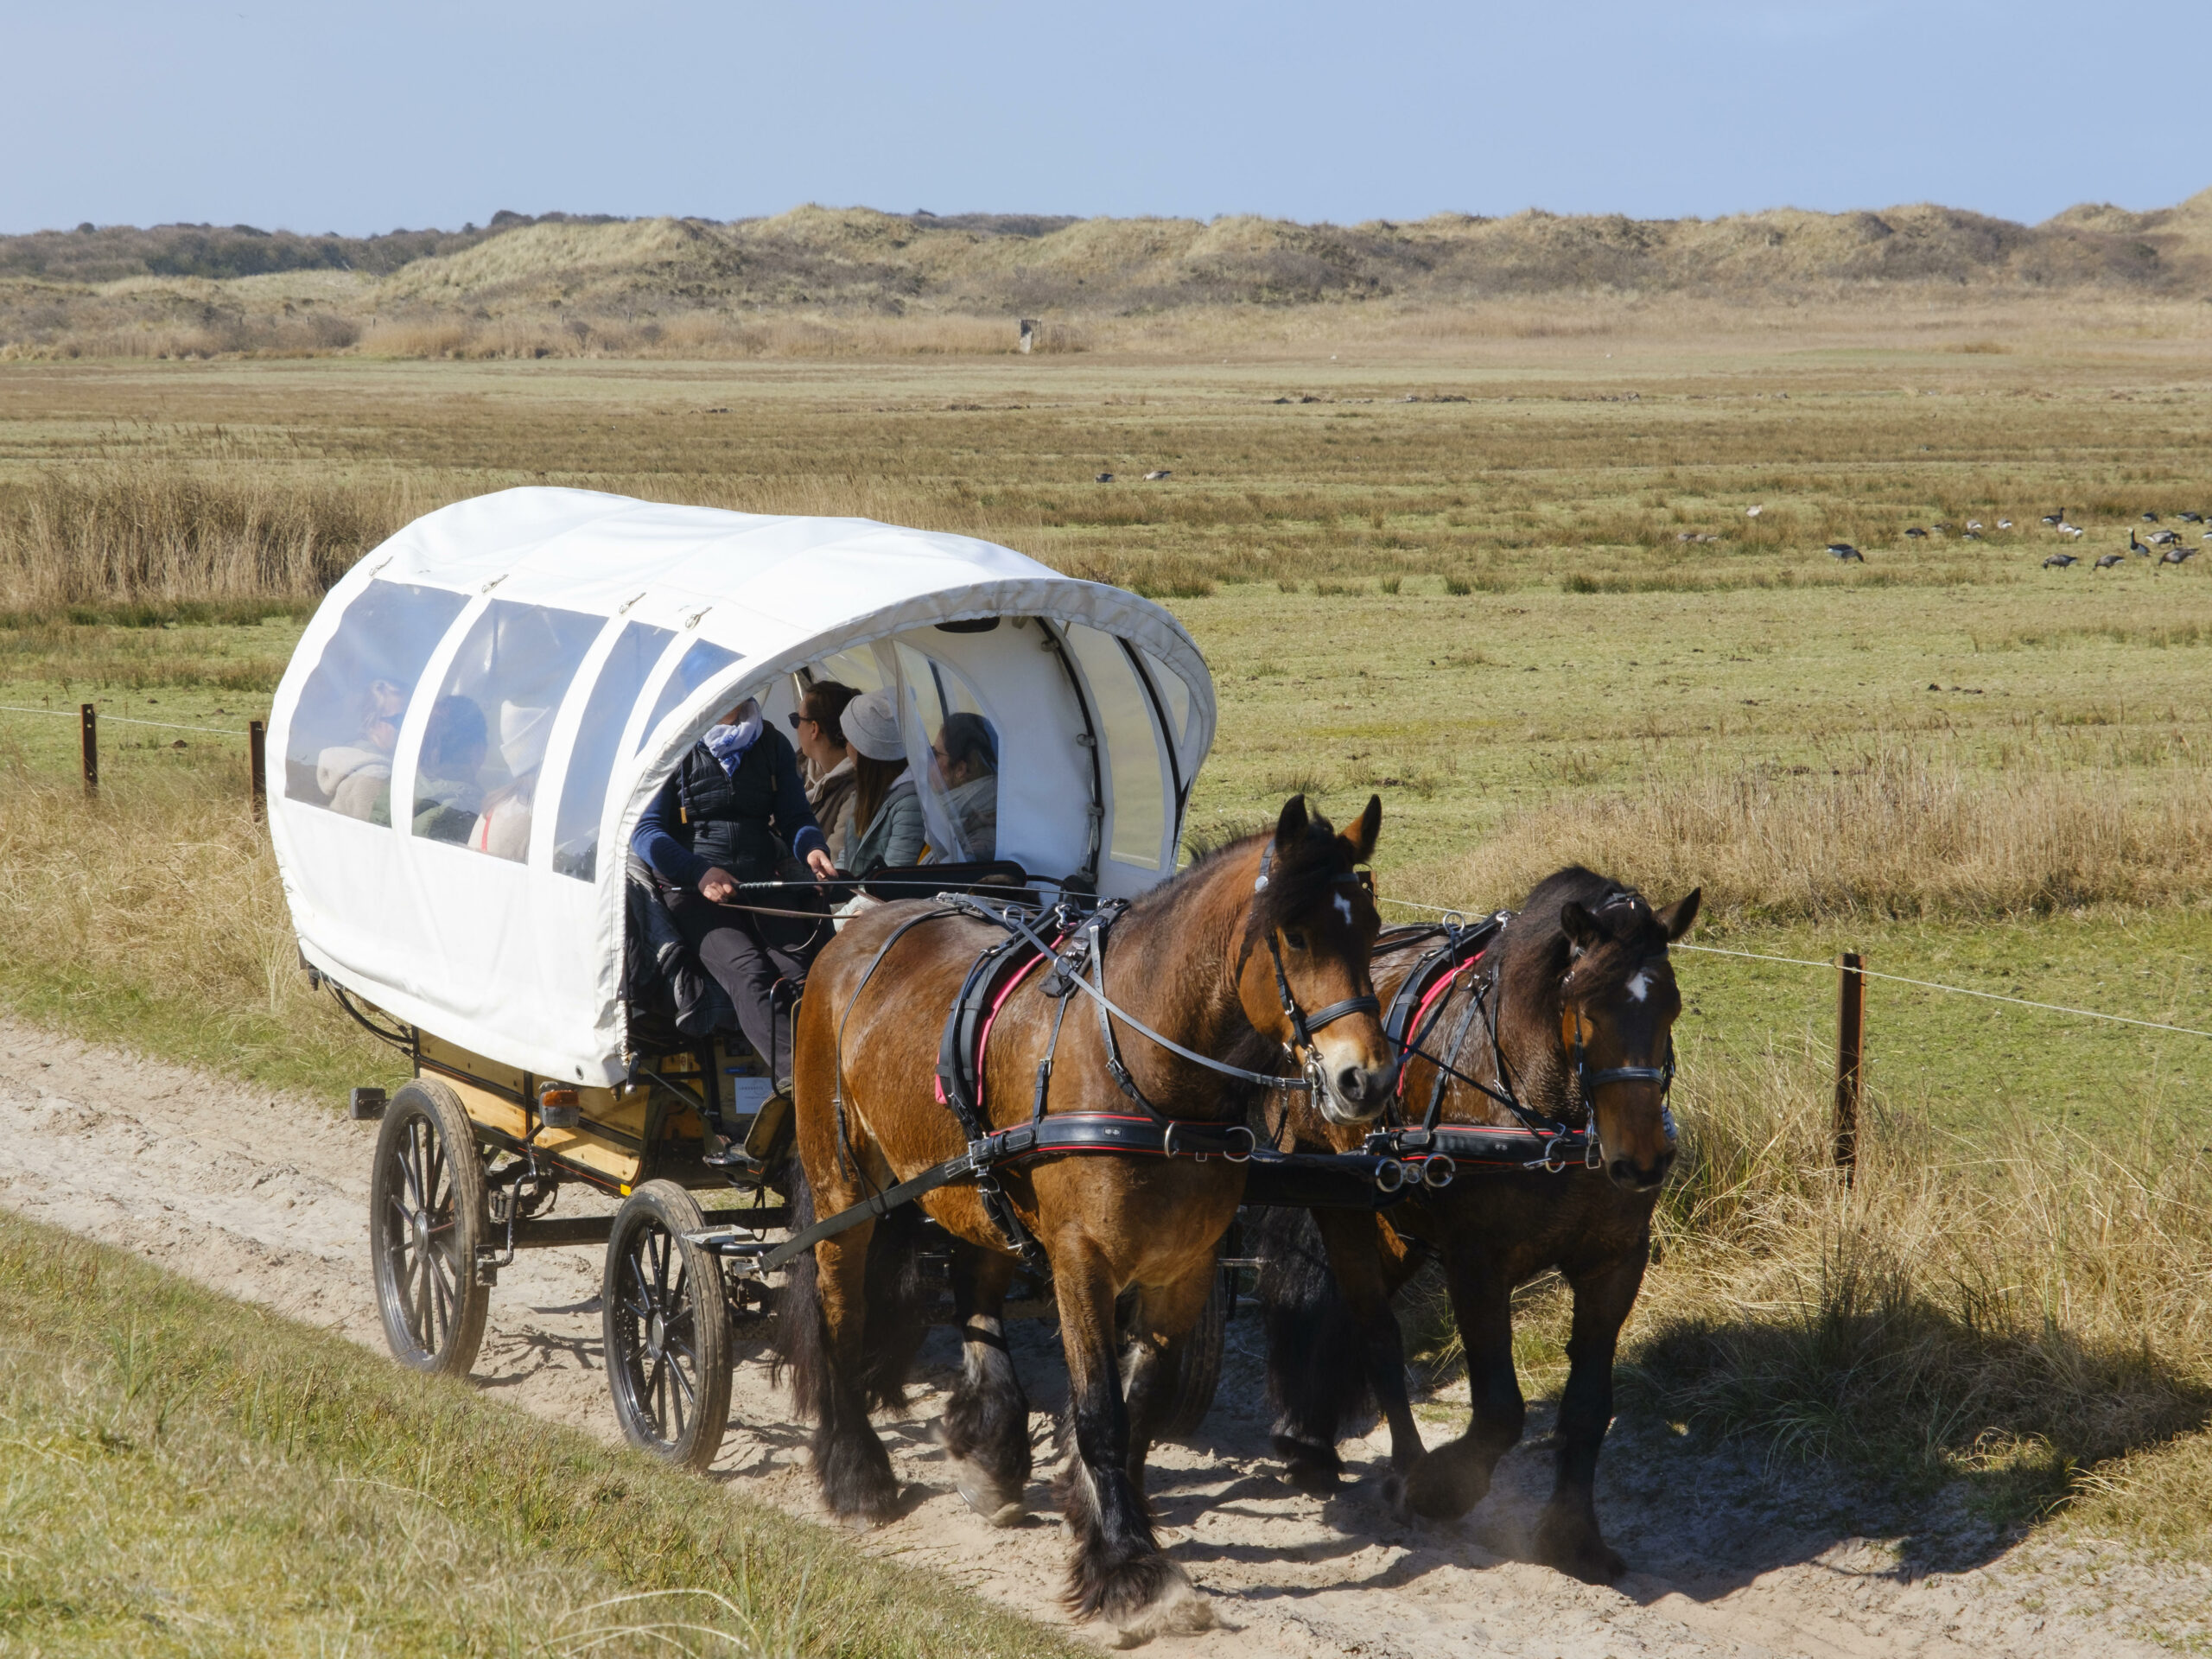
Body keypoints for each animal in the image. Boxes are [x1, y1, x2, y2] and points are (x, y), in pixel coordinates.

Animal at [787, 800, 1389, 1645]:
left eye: (1369, 926)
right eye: (1296, 935)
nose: (1363, 1079)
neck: (1142, 1066)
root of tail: (861, 923)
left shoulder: (1183, 1268)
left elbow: (1139, 1407)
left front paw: (1107, 1521)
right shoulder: (1082, 1262)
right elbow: (1101, 1412)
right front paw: (1129, 1569)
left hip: (978, 1185)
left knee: (976, 1292)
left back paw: (989, 1446)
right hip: (843, 1186)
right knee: (838, 1310)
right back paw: (855, 1470)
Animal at [1256, 871, 1699, 1583]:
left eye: (1670, 1007)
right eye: (1585, 1007)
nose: (1642, 1160)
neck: (1549, 1116)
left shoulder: (1614, 1262)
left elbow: (1587, 1407)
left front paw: (1574, 1536)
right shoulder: (1476, 1264)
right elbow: (1499, 1411)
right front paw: (1441, 1488)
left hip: (1395, 1221)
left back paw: (1312, 1437)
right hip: (1339, 1203)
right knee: (1377, 1333)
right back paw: (1389, 1464)